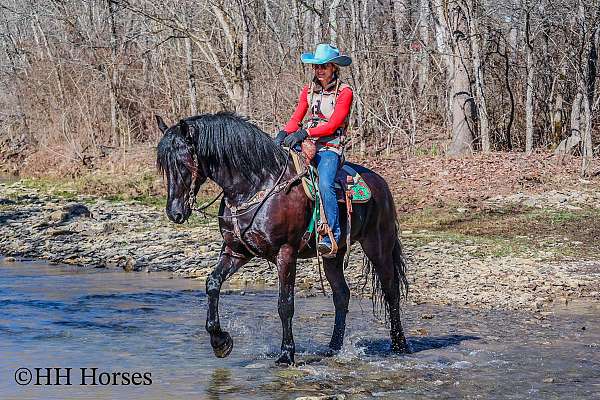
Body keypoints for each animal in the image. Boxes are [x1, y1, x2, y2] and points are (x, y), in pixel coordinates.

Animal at [156, 112, 408, 366]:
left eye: (183, 164)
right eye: (165, 166)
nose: (174, 212)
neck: (254, 187)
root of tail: (381, 184)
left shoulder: (285, 253)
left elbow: (285, 304)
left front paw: (286, 353)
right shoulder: (236, 251)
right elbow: (213, 284)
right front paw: (220, 342)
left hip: (378, 247)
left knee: (391, 291)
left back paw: (399, 345)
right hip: (333, 256)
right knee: (341, 295)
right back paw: (333, 347)